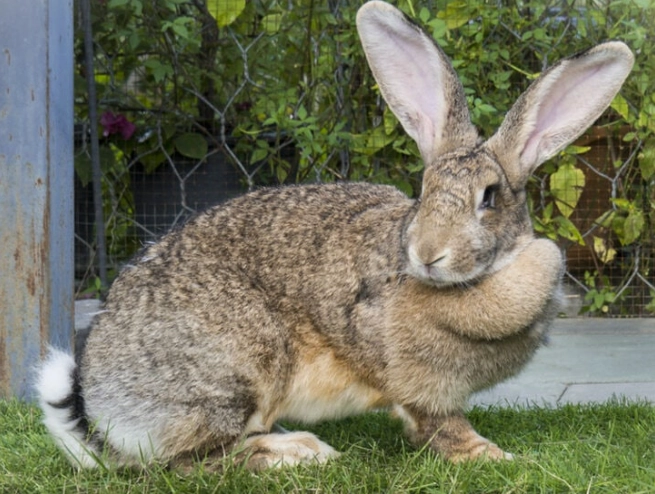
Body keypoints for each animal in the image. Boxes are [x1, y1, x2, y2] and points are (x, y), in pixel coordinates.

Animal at [37, 0, 634, 471]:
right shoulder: (419, 384)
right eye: (423, 190)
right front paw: (494, 456)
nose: (427, 254)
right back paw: (296, 452)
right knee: (188, 463)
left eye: (489, 197)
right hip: (236, 368)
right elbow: (440, 425)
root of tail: (103, 408)